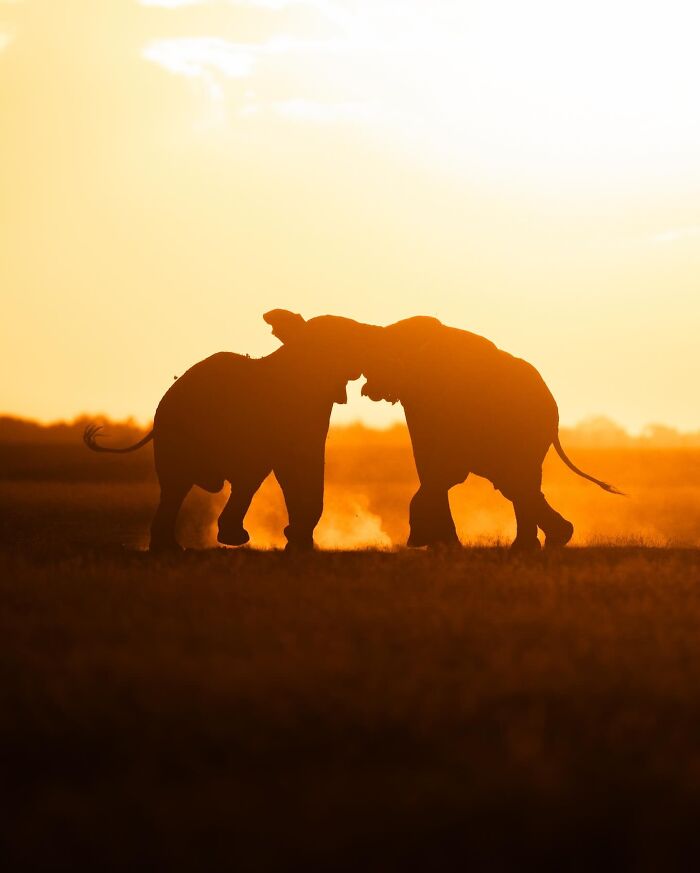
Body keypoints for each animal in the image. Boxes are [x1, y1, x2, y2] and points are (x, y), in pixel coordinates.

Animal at [84, 309, 378, 551]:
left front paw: (298, 543)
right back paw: (211, 541)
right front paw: (295, 541)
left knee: (175, 487)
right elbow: (288, 467)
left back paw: (169, 548)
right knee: (195, 482)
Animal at [359, 316, 621, 551]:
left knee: (514, 481)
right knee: (516, 483)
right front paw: (437, 544)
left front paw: (425, 541)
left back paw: (545, 541)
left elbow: (446, 467)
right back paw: (544, 542)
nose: (366, 390)